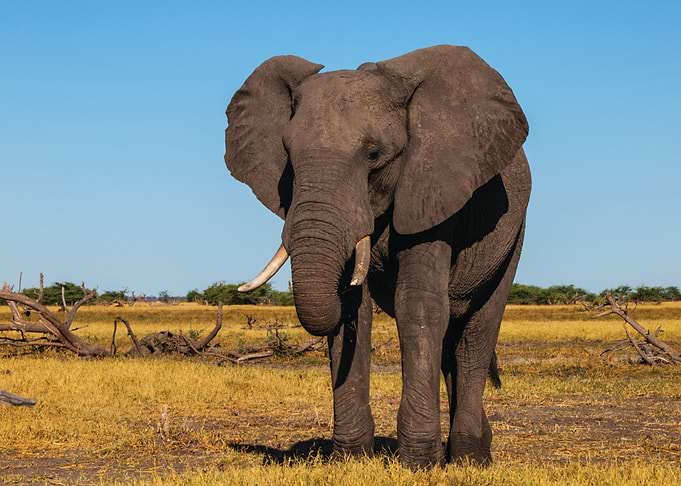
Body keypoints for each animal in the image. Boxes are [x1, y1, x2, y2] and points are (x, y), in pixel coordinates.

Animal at [224, 45, 530, 469]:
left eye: (373, 154)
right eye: (287, 155)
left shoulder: (432, 186)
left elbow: (418, 306)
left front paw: (418, 463)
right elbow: (356, 311)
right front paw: (351, 460)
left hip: (513, 232)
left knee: (476, 334)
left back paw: (469, 459)